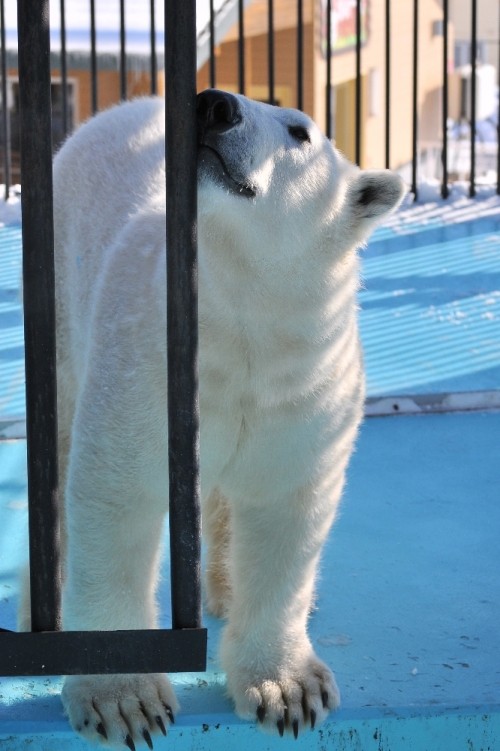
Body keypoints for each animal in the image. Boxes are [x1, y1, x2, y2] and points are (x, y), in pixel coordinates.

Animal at [35, 89, 404, 748]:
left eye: (300, 131)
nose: (214, 105)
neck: (235, 317)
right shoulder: (144, 366)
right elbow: (115, 497)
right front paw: (123, 700)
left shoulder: (303, 386)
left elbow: (285, 508)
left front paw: (288, 690)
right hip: (60, 299)